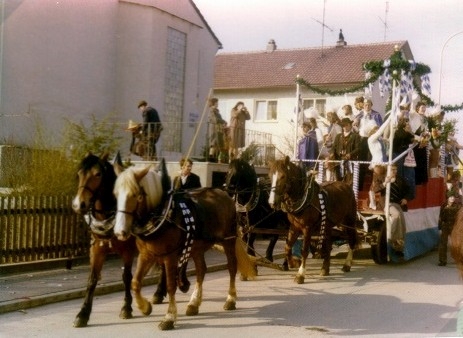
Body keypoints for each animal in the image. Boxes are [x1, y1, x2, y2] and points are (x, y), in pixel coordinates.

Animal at [113, 159, 258, 330]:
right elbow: (135, 282)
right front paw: (145, 306)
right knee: (201, 270)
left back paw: (230, 299)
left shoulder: (170, 256)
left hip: (228, 240)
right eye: (116, 194)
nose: (120, 232)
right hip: (197, 247)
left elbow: (170, 285)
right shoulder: (146, 254)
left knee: (232, 267)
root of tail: (225, 194)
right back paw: (194, 303)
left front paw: (169, 317)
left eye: (137, 195)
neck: (164, 214)